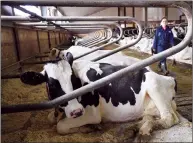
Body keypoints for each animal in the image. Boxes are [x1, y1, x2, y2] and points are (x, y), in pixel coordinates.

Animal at [20, 50, 191, 141]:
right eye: (52, 84)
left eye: (73, 80)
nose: (76, 111)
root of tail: (170, 79)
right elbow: (52, 119)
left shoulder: (92, 113)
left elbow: (60, 126)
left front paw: (88, 128)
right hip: (149, 107)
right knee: (149, 117)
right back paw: (138, 128)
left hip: (154, 86)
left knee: (168, 119)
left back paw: (144, 131)